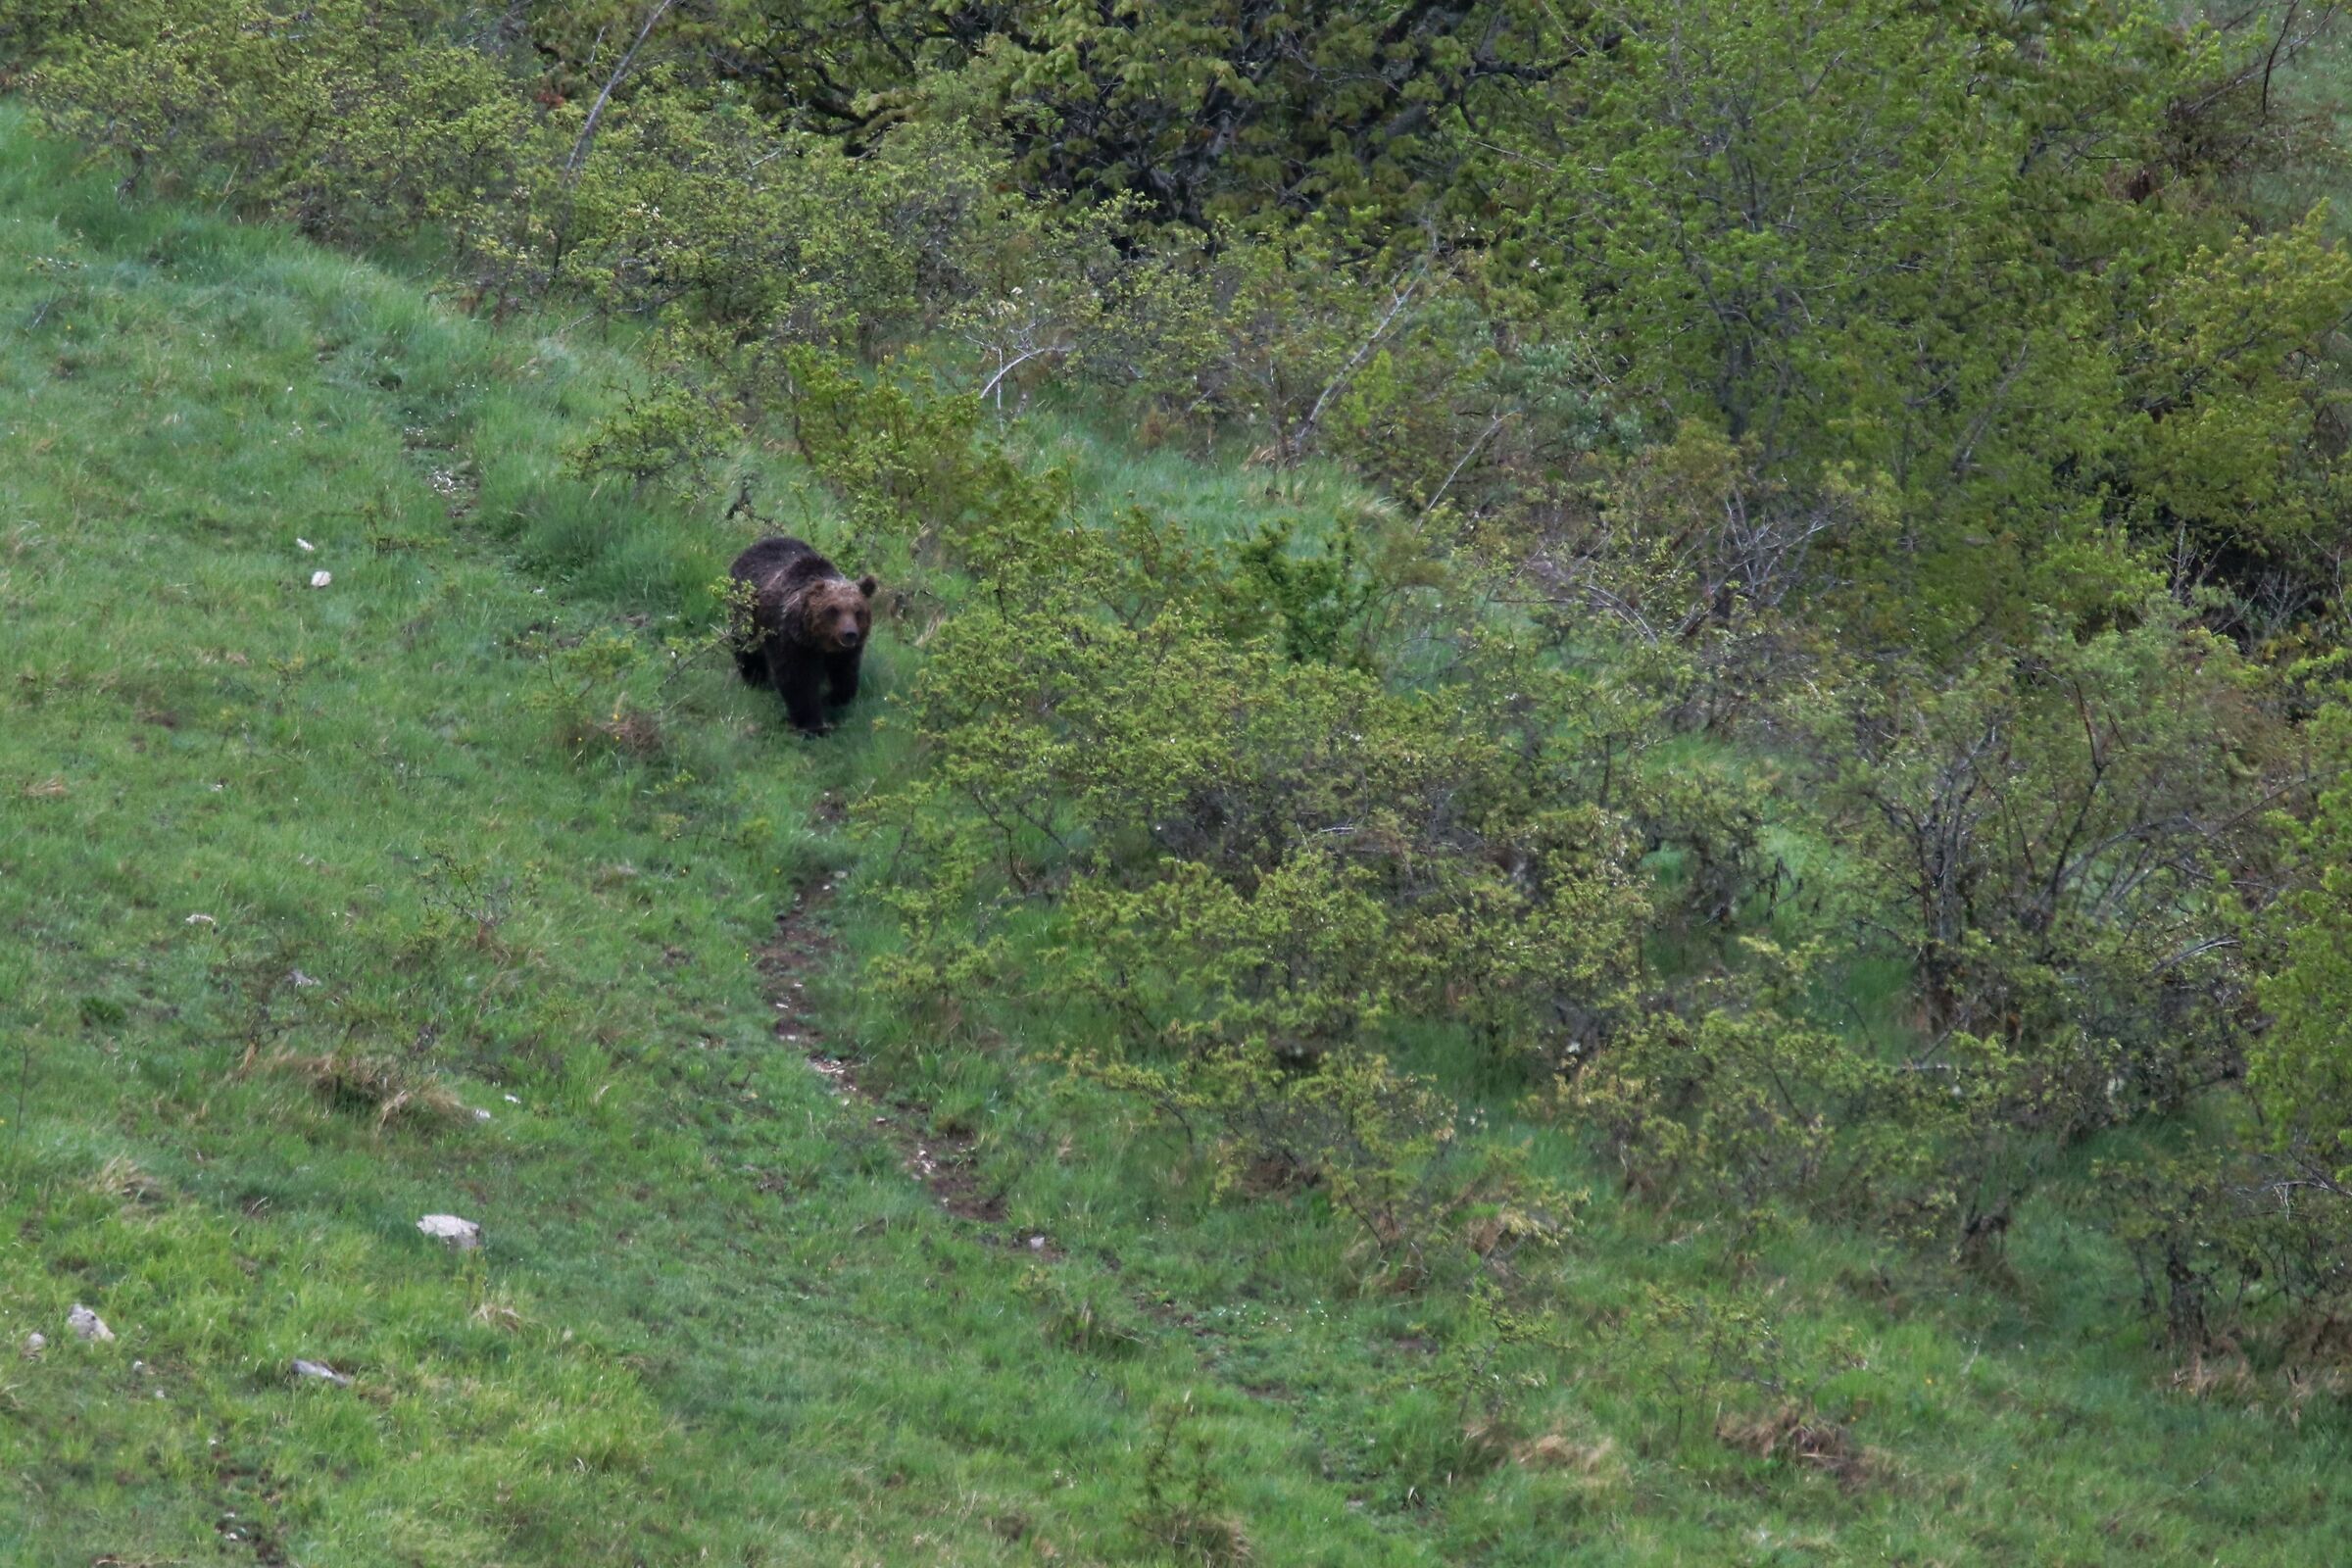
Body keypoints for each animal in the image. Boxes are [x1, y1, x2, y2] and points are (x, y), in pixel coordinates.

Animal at [728, 536, 877, 734]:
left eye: (858, 611)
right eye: (833, 610)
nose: (849, 634)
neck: (818, 642)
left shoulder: (844, 653)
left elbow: (846, 674)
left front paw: (832, 699)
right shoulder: (791, 641)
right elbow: (798, 680)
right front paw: (812, 725)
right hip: (746, 611)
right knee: (747, 646)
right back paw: (756, 678)